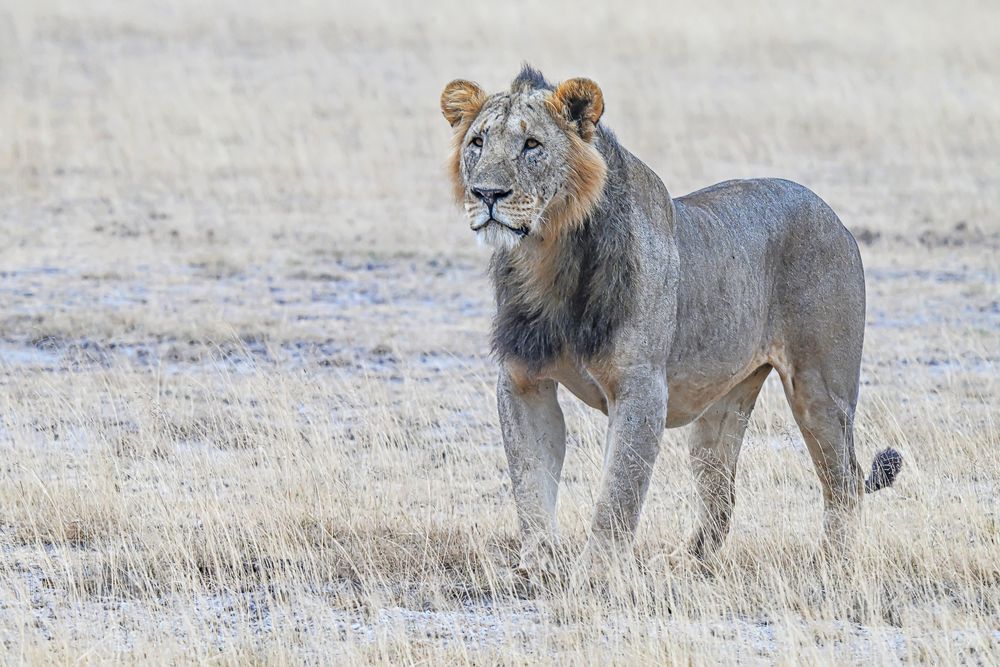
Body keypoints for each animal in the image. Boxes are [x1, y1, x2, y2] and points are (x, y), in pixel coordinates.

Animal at [438, 65, 900, 576]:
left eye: (532, 145)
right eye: (478, 142)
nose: (487, 194)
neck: (547, 256)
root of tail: (833, 215)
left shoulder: (641, 387)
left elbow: (618, 492)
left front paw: (595, 574)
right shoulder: (523, 380)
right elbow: (529, 478)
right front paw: (537, 563)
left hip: (821, 388)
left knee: (844, 480)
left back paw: (831, 564)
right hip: (720, 406)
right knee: (721, 493)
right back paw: (685, 563)